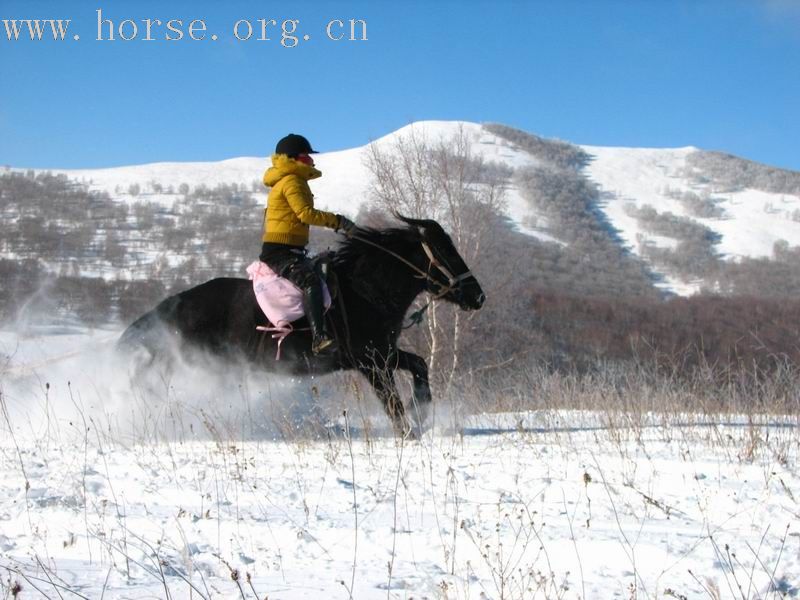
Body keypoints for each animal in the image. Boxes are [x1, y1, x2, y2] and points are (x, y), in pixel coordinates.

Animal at [115, 216, 484, 436]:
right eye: (445, 250)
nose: (478, 296)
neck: (365, 290)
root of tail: (169, 308)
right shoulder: (371, 360)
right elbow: (392, 401)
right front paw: (409, 430)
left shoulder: (383, 352)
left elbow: (420, 366)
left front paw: (421, 414)